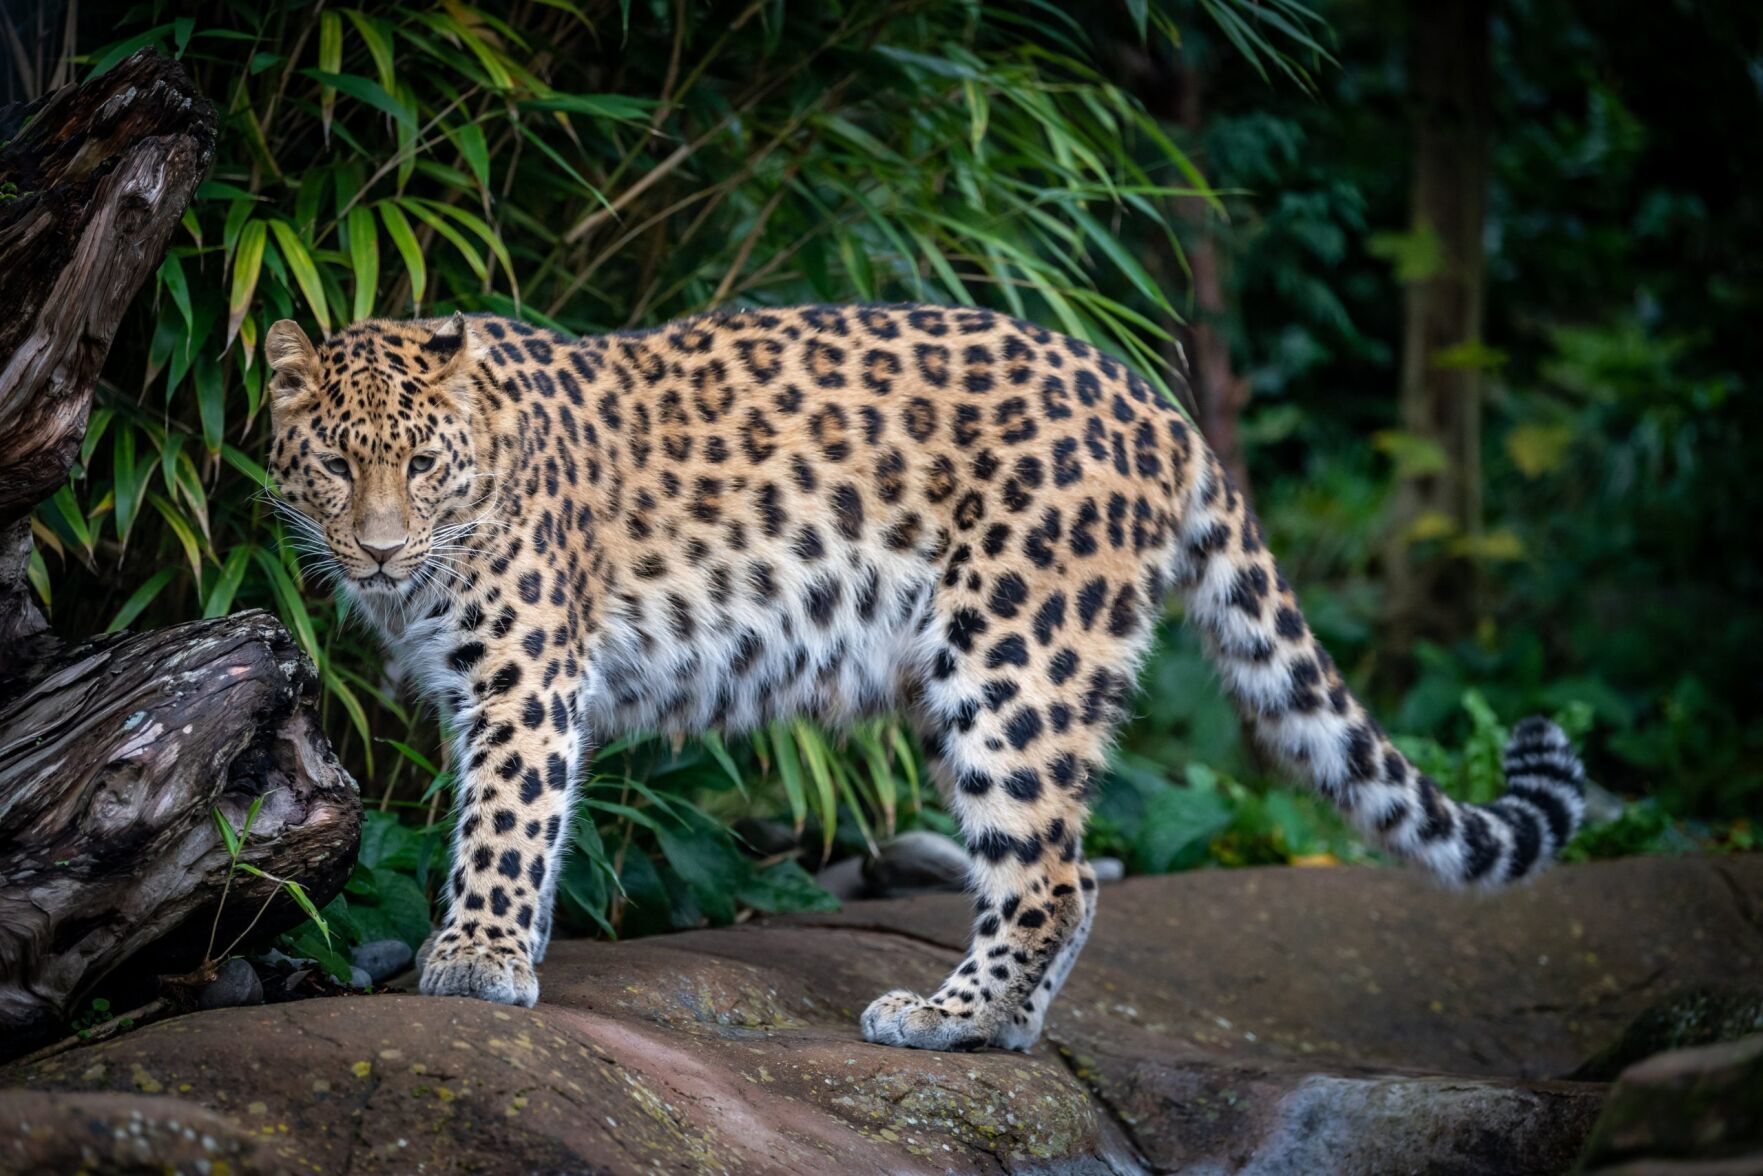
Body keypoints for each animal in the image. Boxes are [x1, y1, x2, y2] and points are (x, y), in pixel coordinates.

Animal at [263, 303, 1586, 1052]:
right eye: (333, 463)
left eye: (419, 465)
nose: (374, 550)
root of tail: (1156, 403)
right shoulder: (476, 688)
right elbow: (516, 821)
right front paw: (506, 951)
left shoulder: (525, 676)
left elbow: (505, 820)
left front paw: (475, 962)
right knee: (1075, 869)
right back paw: (1008, 1033)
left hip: (1011, 658)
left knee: (1045, 872)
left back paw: (941, 1020)